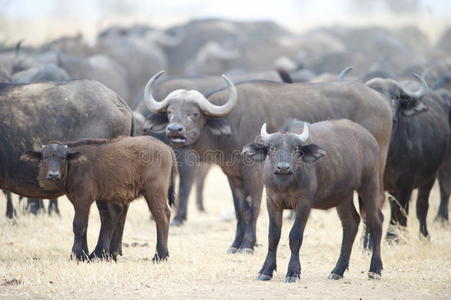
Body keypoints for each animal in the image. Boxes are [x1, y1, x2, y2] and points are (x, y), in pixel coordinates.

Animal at [21, 136, 177, 260]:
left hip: (155, 191)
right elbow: (84, 225)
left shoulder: (84, 198)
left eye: (63, 158)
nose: (53, 175)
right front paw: (83, 255)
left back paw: (160, 255)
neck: (76, 165)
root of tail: (166, 148)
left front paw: (75, 254)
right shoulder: (77, 200)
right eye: (45, 157)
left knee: (162, 215)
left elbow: (78, 225)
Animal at [144, 69, 392, 253]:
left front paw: (248, 245)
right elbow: (239, 209)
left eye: (194, 113)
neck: (232, 122)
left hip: (375, 171)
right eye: (170, 111)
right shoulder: (233, 175)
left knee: (377, 207)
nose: (174, 130)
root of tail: (382, 101)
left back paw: (369, 248)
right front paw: (236, 244)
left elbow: (252, 207)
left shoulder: (254, 173)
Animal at [244, 119, 384, 282]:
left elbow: (295, 236)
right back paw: (337, 270)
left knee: (376, 223)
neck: (286, 182)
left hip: (370, 185)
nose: (283, 167)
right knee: (351, 224)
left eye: (296, 149)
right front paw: (266, 270)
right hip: (343, 196)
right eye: (272, 148)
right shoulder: (272, 202)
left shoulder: (304, 204)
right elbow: (273, 236)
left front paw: (293, 272)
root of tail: (370, 139)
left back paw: (375, 270)